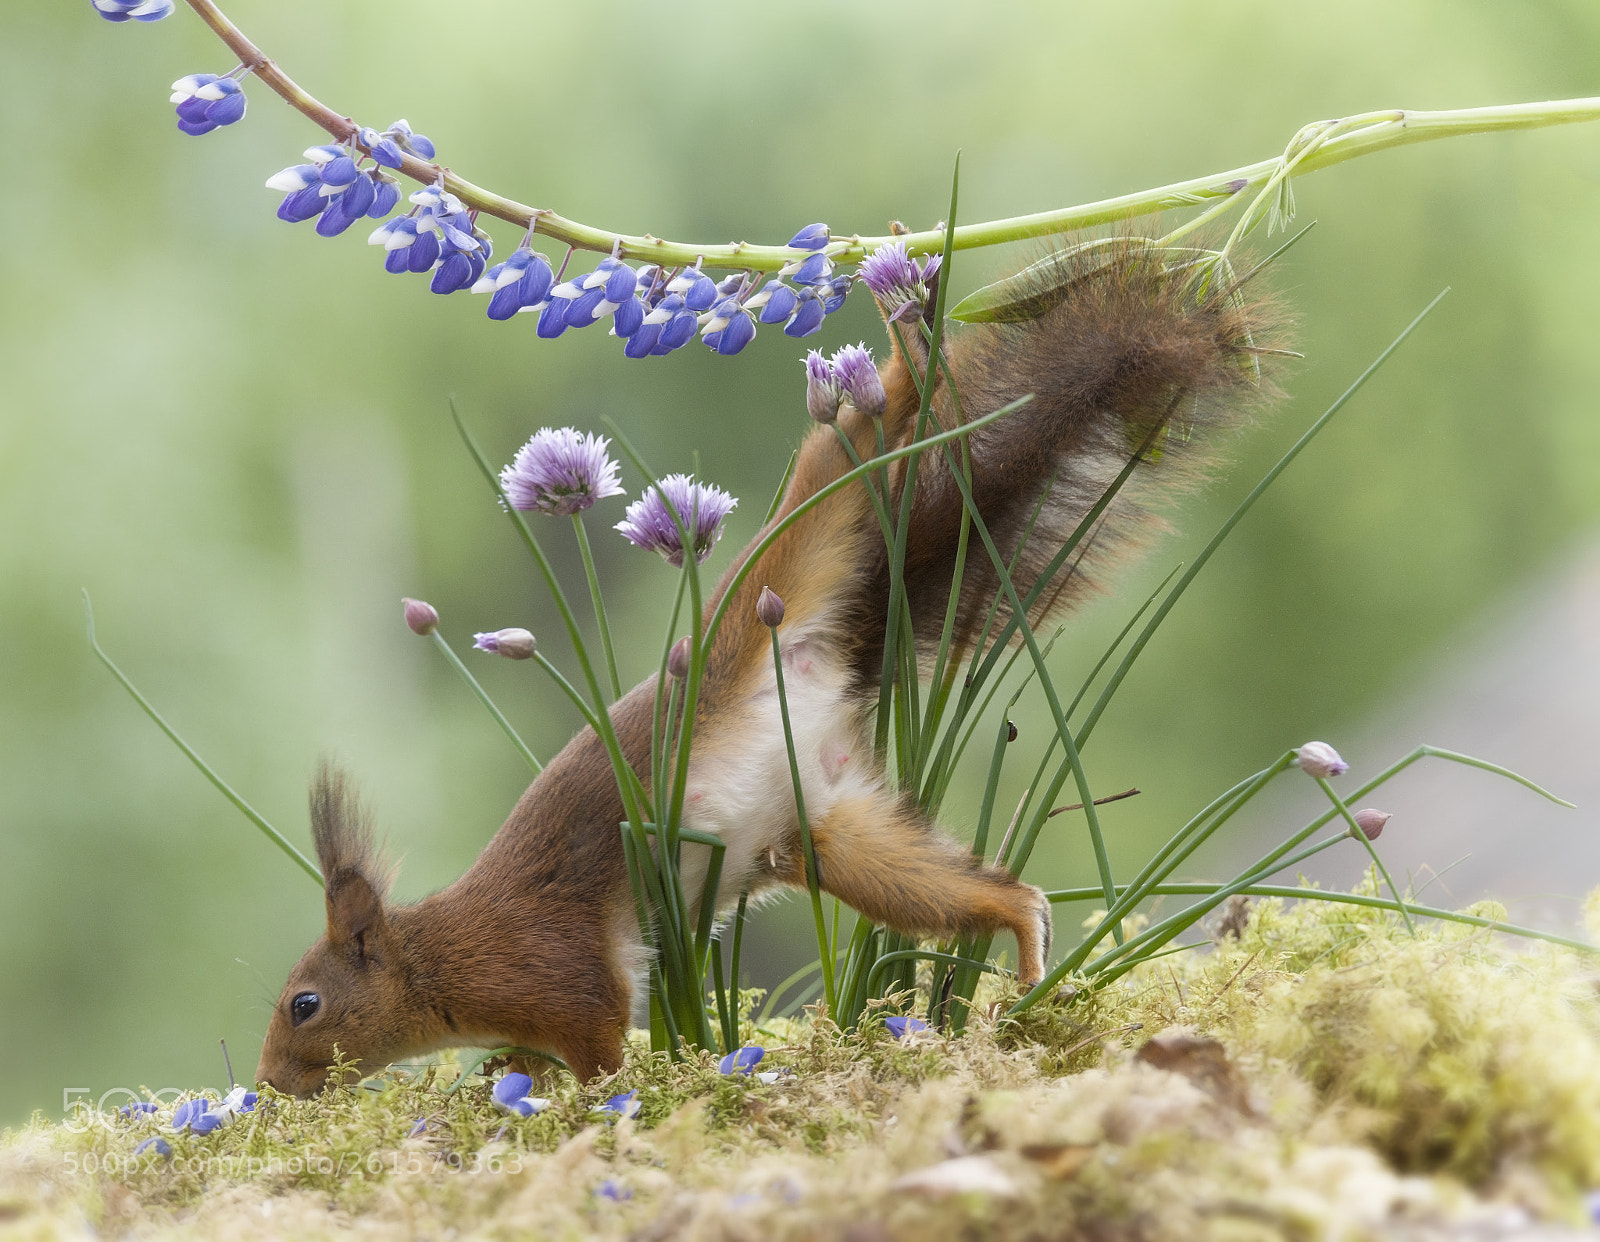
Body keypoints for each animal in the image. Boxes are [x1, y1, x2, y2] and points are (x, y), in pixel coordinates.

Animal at [256, 239, 1280, 1096]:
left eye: (305, 1003)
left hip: (804, 532)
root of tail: (813, 660)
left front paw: (590, 1100)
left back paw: (901, 336)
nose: (268, 1083)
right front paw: (502, 1075)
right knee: (981, 892)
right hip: (836, 837)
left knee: (857, 431)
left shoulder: (551, 972)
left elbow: (601, 1041)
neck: (439, 955)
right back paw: (1027, 946)